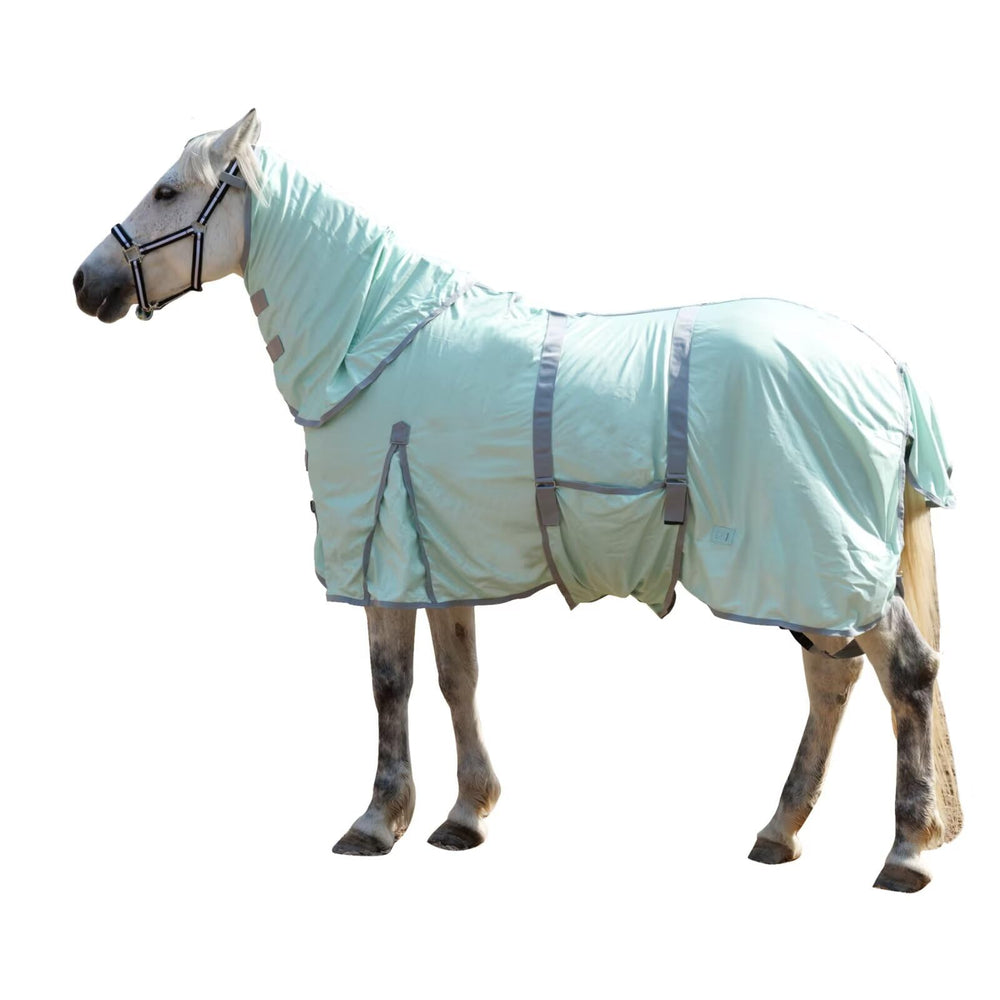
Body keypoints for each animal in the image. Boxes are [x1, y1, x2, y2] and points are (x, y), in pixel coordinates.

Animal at [74, 110, 962, 892]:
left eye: (166, 192)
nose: (87, 283)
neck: (375, 342)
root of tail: (885, 367)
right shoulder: (438, 554)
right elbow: (456, 678)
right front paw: (465, 815)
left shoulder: (382, 555)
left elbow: (389, 683)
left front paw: (376, 821)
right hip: (813, 573)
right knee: (832, 681)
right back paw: (780, 832)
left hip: (819, 561)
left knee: (906, 676)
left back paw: (905, 852)